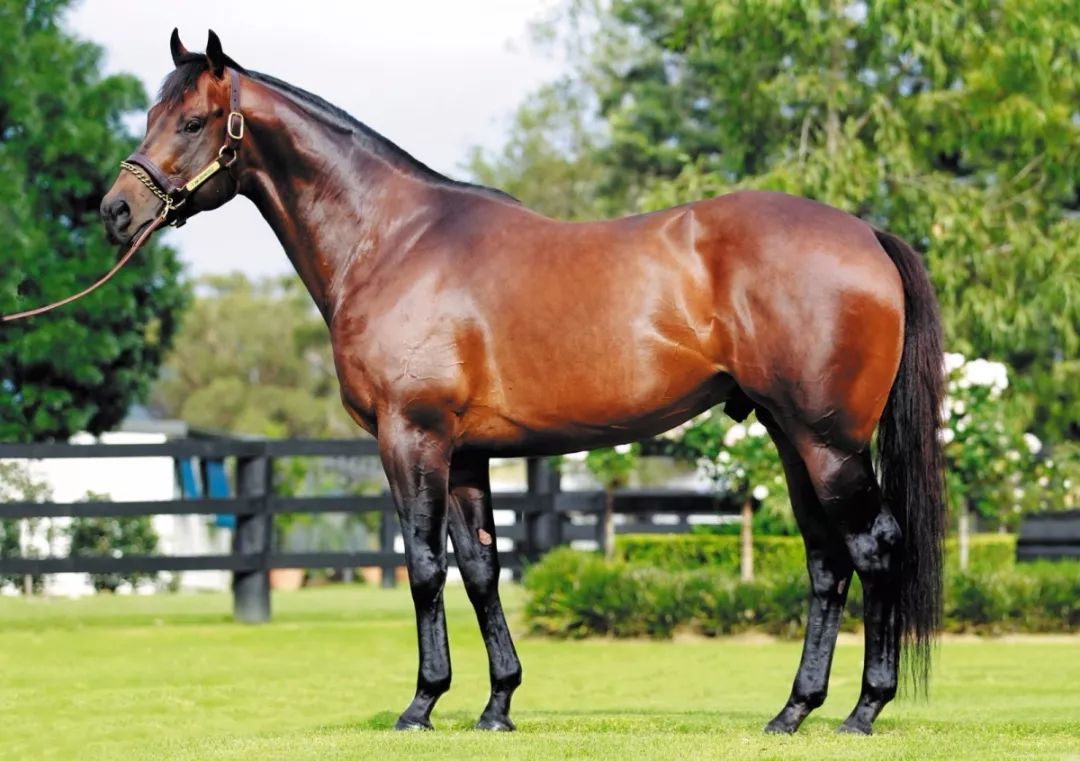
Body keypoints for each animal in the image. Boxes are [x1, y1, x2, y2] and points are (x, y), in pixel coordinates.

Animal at [100, 30, 945, 736]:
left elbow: (424, 566)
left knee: (873, 547)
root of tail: (866, 232)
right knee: (827, 562)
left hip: (827, 442)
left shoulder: (411, 437)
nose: (116, 210)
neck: (393, 240)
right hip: (792, 436)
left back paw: (863, 711)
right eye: (150, 113)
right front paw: (497, 704)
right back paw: (793, 710)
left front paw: (421, 704)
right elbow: (480, 568)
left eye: (194, 121)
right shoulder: (465, 454)